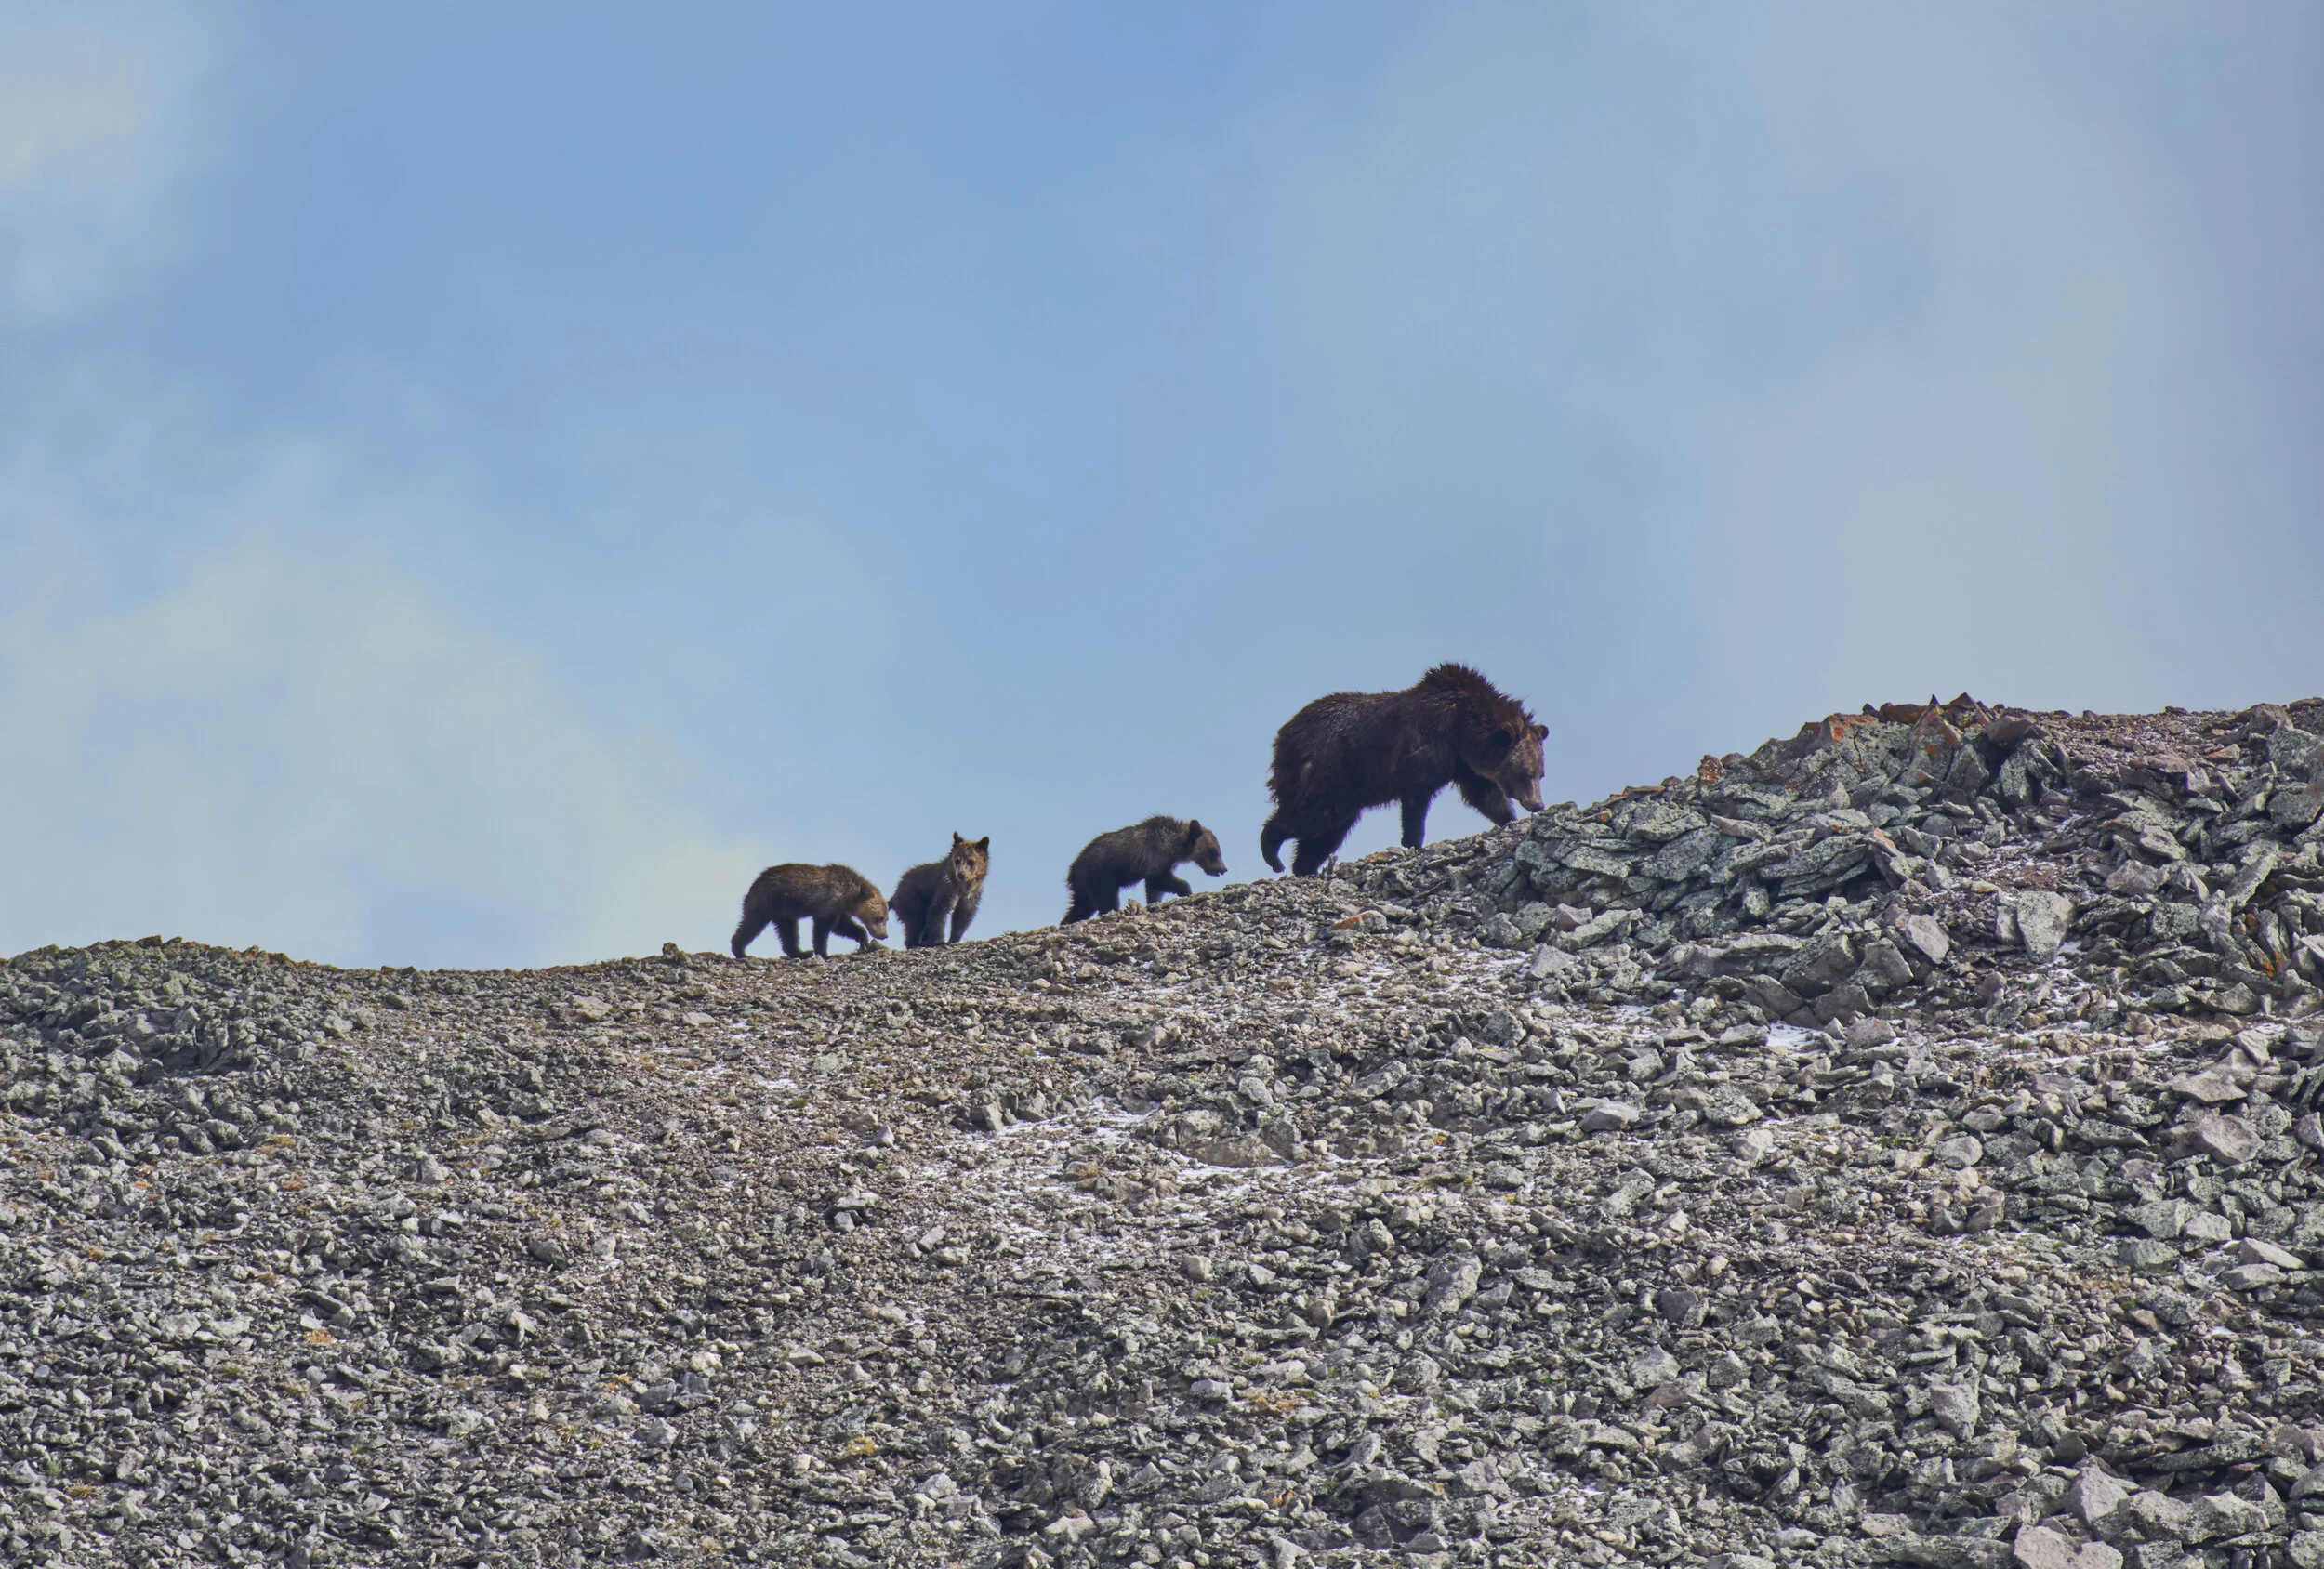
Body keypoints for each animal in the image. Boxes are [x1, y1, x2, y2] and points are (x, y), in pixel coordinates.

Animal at [730, 863, 890, 959]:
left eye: (886, 919)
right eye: (879, 917)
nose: (884, 935)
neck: (850, 895)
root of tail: (756, 881)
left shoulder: (840, 909)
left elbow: (842, 926)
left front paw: (863, 940)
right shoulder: (830, 901)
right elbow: (823, 928)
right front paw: (824, 953)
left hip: (783, 912)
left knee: (788, 931)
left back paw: (801, 952)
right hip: (767, 901)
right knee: (752, 923)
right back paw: (740, 951)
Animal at [1062, 816, 1227, 924]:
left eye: (1218, 850)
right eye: (1213, 851)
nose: (1223, 869)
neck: (1174, 845)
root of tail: (1073, 869)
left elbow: (1154, 888)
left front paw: (1154, 902)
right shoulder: (1156, 855)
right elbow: (1157, 879)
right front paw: (1186, 890)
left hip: (1083, 886)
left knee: (1081, 906)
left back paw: (1067, 921)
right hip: (1100, 876)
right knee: (1107, 900)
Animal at [1260, 662, 1547, 876]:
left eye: (1540, 773)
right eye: (1525, 772)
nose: (1537, 804)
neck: (1461, 729)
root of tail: (1283, 736)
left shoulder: (1464, 765)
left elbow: (1485, 796)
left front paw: (1509, 819)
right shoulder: (1424, 749)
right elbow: (1416, 801)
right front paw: (1412, 841)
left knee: (1329, 830)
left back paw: (1304, 867)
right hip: (1328, 768)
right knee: (1313, 814)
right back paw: (1273, 854)